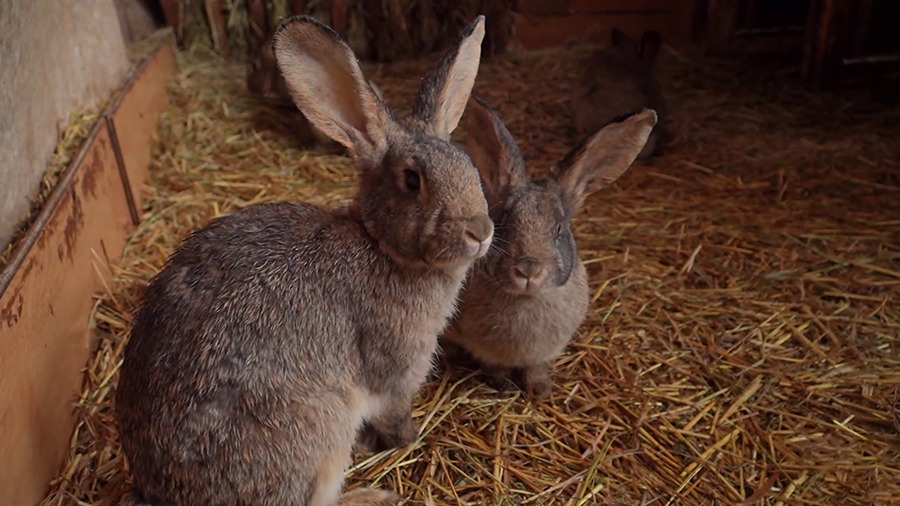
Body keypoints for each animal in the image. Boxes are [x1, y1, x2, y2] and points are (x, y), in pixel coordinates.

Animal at [114, 13, 492, 506]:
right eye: (412, 180)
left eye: (468, 163)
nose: (481, 231)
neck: (380, 245)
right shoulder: (394, 371)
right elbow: (394, 415)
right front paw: (409, 440)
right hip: (320, 430)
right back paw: (372, 495)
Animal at [442, 97, 656, 402]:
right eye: (503, 221)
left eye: (558, 229)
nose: (528, 270)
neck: (526, 297)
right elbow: (493, 364)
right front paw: (503, 384)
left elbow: (536, 368)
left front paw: (540, 390)